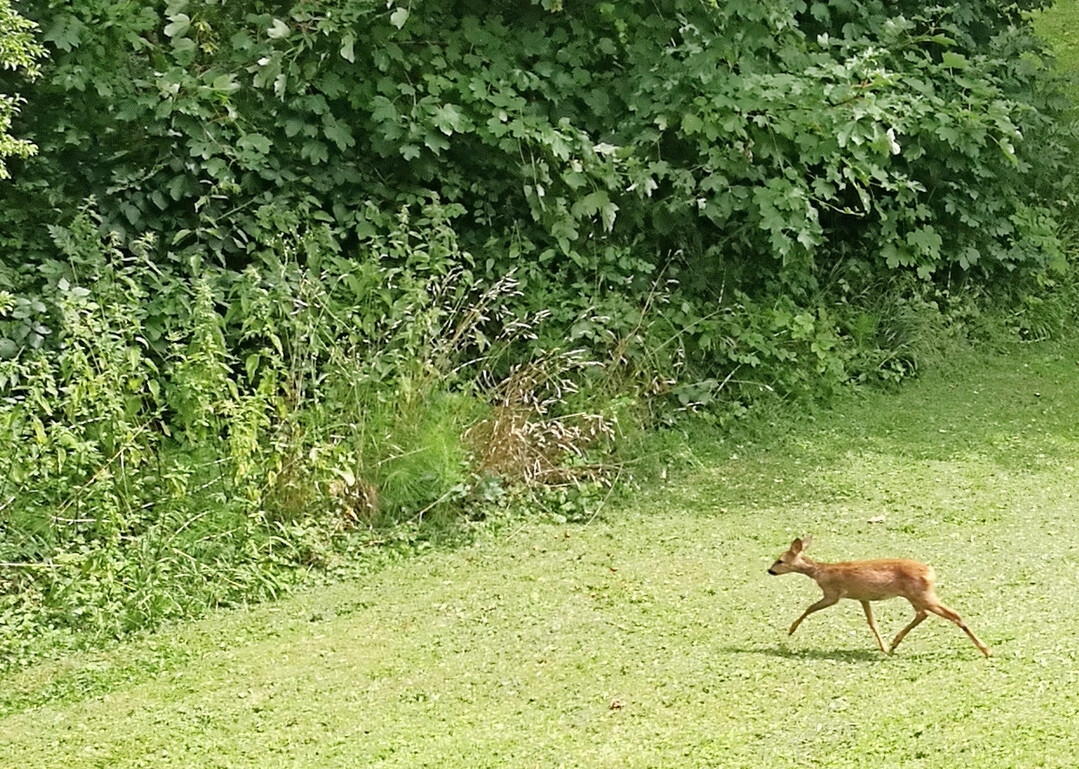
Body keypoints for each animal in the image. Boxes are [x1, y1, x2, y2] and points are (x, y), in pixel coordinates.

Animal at [767, 536, 990, 658]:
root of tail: (931, 572)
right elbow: (872, 622)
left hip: (923, 595)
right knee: (922, 614)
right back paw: (894, 643)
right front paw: (883, 646)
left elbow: (810, 608)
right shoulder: (862, 597)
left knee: (953, 614)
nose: (769, 570)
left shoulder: (833, 594)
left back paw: (986, 650)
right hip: (915, 595)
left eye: (780, 560)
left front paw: (790, 630)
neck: (820, 572)